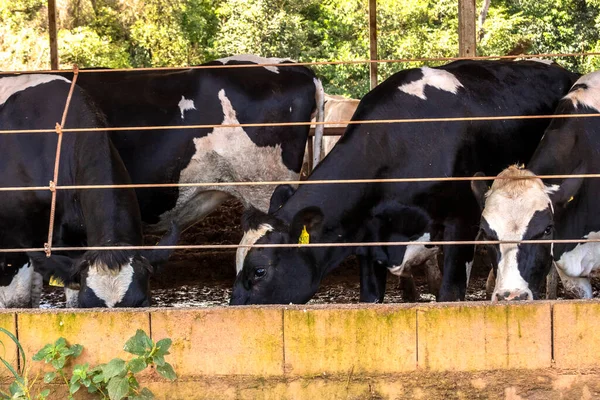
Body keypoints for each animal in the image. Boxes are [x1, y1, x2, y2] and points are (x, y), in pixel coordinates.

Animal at [229, 58, 576, 304]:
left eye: (259, 271)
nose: (235, 310)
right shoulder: (368, 241)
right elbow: (370, 299)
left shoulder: (461, 223)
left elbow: (450, 295)